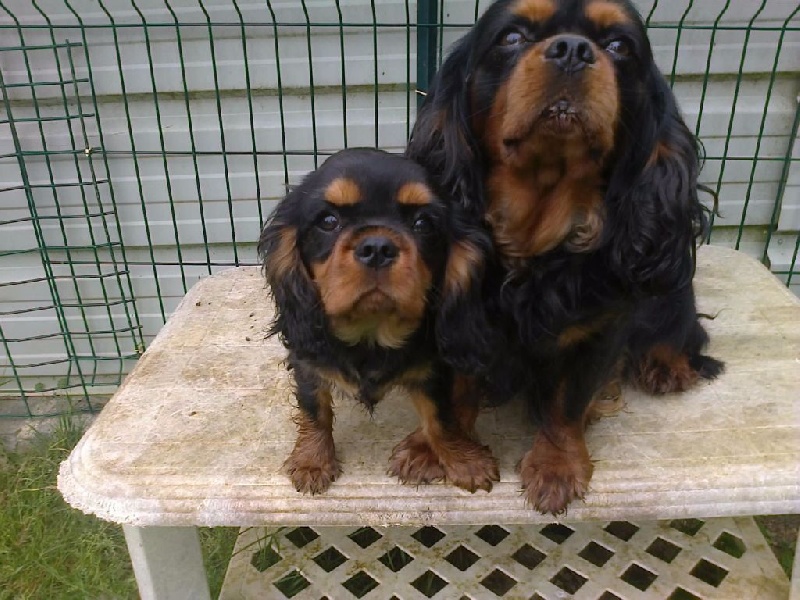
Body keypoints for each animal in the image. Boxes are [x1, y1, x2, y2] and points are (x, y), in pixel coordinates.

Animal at [258, 148, 499, 495]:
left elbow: (440, 418)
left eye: (423, 223)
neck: (371, 331)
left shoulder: (432, 369)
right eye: (328, 221)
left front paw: (465, 460)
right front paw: (312, 461)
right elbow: (315, 409)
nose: (377, 247)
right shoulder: (307, 362)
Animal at [406, 0, 724, 514]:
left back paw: (668, 365)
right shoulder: (460, 317)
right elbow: (456, 386)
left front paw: (556, 465)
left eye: (619, 46)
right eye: (511, 37)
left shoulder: (600, 329)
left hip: (670, 287)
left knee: (684, 328)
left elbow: (568, 401)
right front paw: (436, 447)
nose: (573, 49)